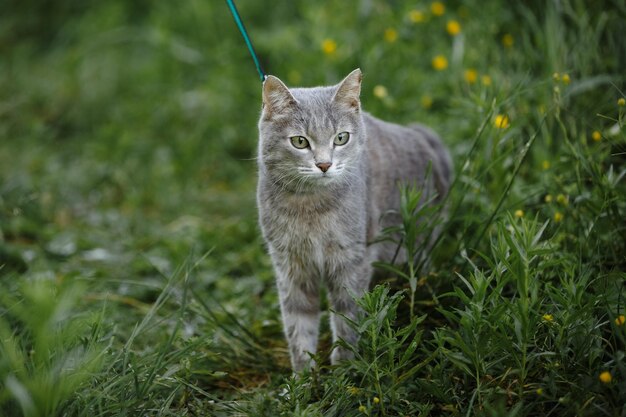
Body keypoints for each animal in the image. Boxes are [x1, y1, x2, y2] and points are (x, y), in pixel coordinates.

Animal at [256, 69, 450, 370]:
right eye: (300, 141)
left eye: (341, 138)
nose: (324, 164)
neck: (309, 207)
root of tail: (424, 138)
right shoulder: (291, 266)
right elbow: (298, 325)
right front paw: (302, 378)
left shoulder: (351, 260)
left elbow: (347, 317)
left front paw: (343, 370)